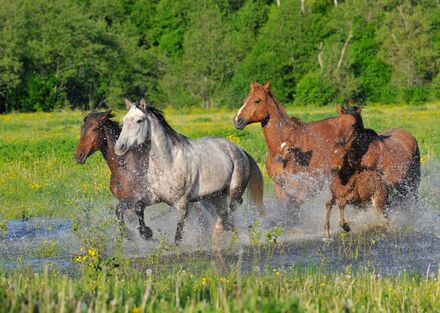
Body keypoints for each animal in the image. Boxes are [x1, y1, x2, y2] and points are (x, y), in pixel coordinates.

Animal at [74, 109, 153, 239]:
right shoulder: (125, 200)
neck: (124, 169)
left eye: (95, 128)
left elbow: (138, 210)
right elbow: (119, 211)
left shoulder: (142, 197)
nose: (79, 156)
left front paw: (145, 232)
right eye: (82, 128)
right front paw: (125, 233)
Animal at [234, 81, 350, 218]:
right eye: (244, 100)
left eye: (257, 100)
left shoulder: (299, 188)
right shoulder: (279, 185)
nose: (237, 120)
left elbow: (293, 210)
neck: (280, 148)